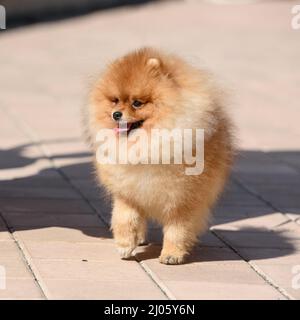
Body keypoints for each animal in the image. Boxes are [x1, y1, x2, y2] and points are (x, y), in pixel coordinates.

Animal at [84, 46, 234, 264]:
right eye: (115, 101)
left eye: (137, 103)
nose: (116, 114)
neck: (147, 144)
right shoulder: (127, 192)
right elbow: (124, 218)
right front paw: (125, 245)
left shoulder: (182, 199)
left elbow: (177, 230)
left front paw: (172, 254)